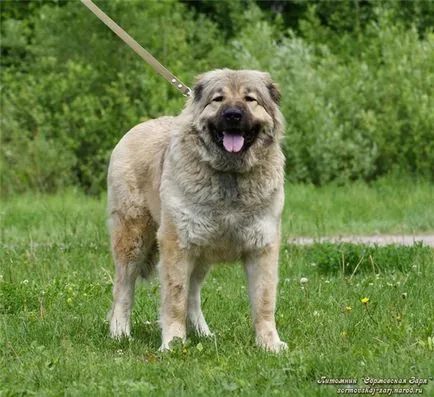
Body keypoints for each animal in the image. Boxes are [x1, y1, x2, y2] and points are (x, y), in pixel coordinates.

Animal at [107, 69, 286, 352]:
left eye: (250, 99)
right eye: (218, 99)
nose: (233, 115)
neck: (230, 176)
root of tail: (137, 129)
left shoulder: (262, 247)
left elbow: (264, 301)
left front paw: (269, 344)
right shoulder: (177, 245)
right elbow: (174, 299)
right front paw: (173, 343)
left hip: (202, 251)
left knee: (193, 293)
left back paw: (204, 334)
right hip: (133, 239)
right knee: (123, 288)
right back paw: (120, 333)